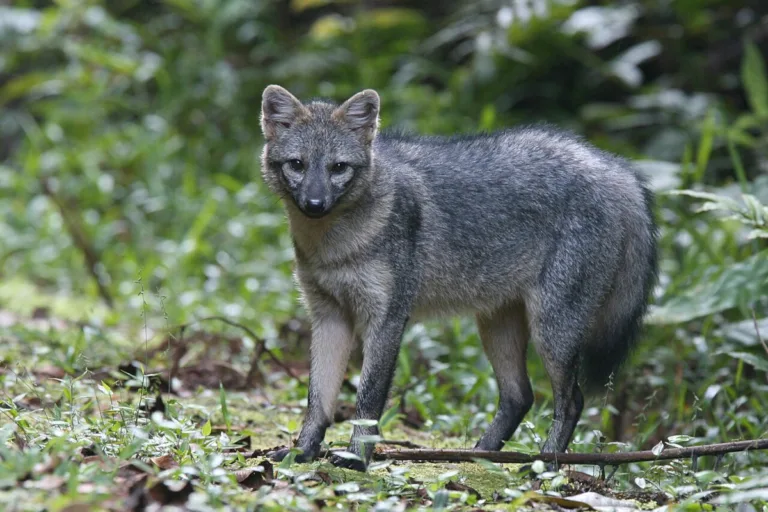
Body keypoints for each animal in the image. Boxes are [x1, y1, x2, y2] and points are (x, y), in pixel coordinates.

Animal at [260, 85, 657, 471]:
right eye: (298, 165)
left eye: (338, 167)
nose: (314, 204)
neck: (334, 247)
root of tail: (613, 165)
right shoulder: (329, 316)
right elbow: (317, 399)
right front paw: (303, 452)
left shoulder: (386, 319)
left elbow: (368, 399)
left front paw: (356, 459)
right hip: (498, 327)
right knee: (520, 396)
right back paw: (483, 454)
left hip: (552, 332)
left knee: (572, 400)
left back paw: (543, 465)